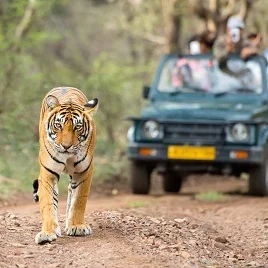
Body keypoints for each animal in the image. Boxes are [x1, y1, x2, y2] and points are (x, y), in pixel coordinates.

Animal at [33, 86, 98, 245]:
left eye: (78, 127)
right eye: (58, 125)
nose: (66, 146)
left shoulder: (84, 171)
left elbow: (79, 200)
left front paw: (76, 226)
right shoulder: (47, 173)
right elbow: (48, 203)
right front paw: (47, 233)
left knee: (71, 191)